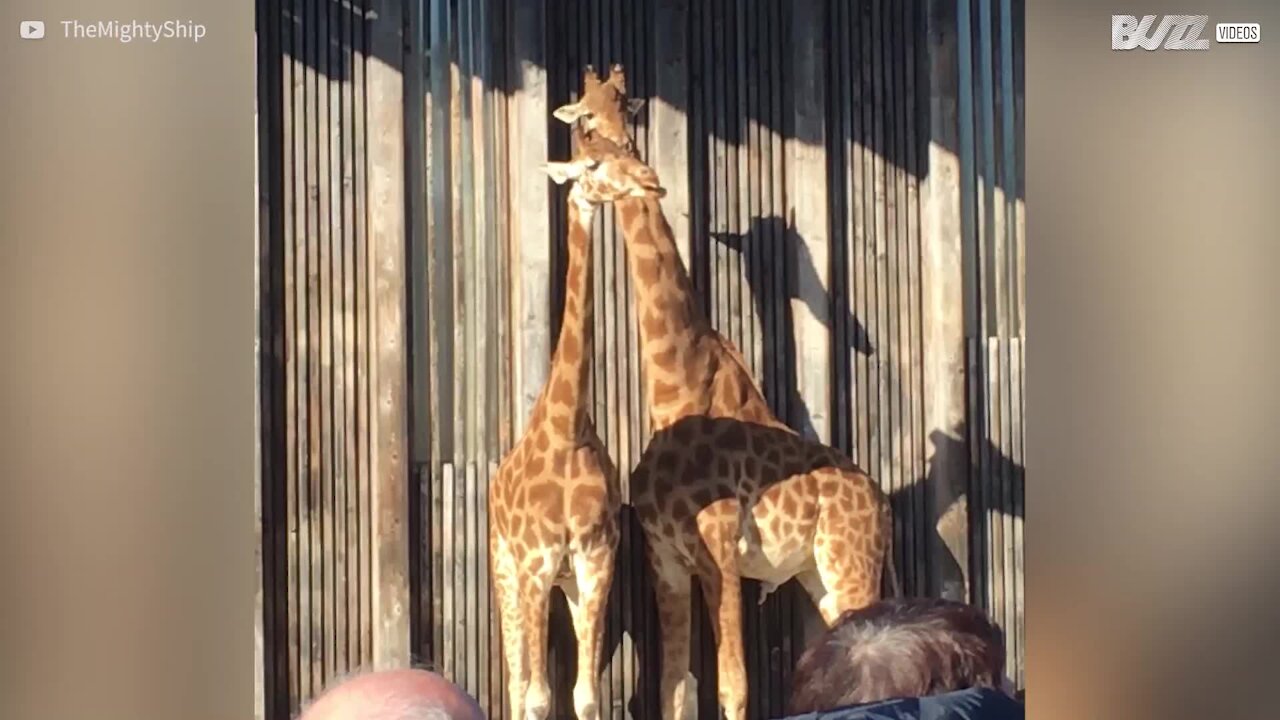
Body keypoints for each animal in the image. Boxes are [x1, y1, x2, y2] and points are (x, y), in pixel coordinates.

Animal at [488, 96, 670, 717]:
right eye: (590, 164)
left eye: (625, 147)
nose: (650, 180)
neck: (567, 428)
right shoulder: (535, 565)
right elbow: (538, 697)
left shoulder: (595, 564)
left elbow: (586, 695)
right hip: (506, 574)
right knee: (517, 680)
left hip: (563, 585)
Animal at [542, 65, 901, 717]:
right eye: (588, 121)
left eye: (629, 111)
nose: (648, 178)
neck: (676, 389)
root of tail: (883, 504)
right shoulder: (666, 558)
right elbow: (674, 687)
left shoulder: (721, 551)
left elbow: (734, 684)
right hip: (817, 576)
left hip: (849, 564)